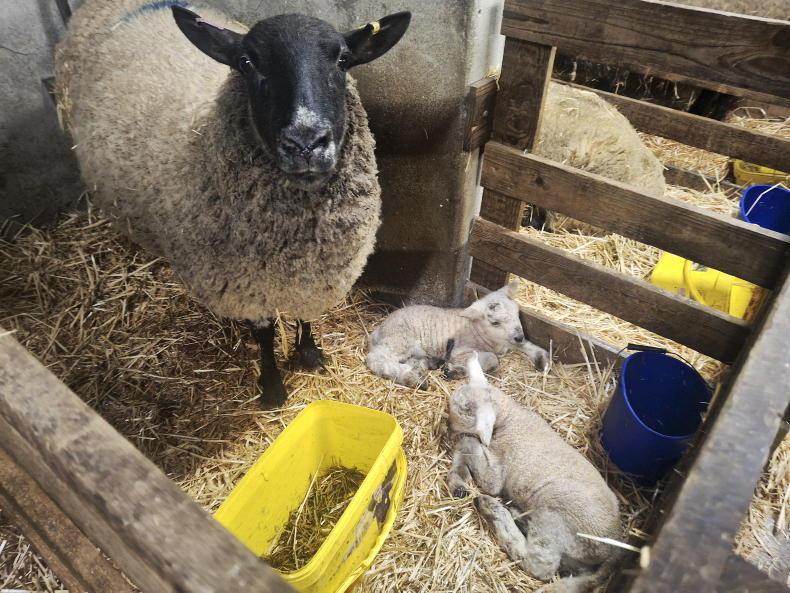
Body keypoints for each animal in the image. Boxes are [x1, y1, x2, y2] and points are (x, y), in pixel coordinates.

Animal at [54, 0, 410, 407]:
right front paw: (272, 387)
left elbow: (304, 316)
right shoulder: (244, 285)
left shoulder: (316, 275)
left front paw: (310, 354)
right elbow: (265, 335)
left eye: (343, 59)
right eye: (246, 62)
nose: (305, 142)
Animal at [366, 281, 548, 387]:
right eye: (495, 322)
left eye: (517, 313)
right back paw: (410, 377)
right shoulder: (459, 351)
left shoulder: (509, 342)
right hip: (399, 340)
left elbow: (526, 345)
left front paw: (542, 360)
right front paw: (455, 370)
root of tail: (378, 330)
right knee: (376, 359)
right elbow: (492, 359)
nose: (519, 336)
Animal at [447, 353, 622, 592]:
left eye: (463, 412)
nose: (447, 425)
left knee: (541, 565)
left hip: (554, 519)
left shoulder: (497, 471)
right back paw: (515, 514)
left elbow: (469, 444)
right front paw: (457, 481)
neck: (510, 417)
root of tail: (613, 550)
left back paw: (493, 511)